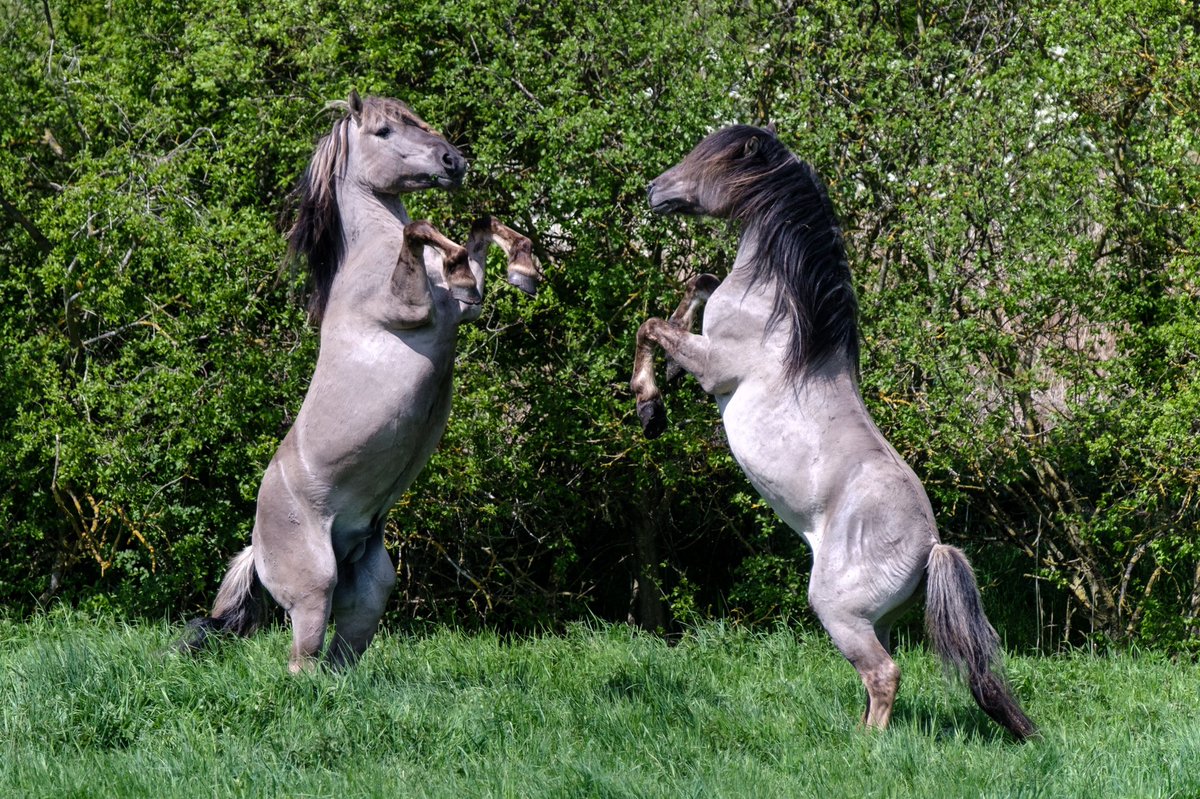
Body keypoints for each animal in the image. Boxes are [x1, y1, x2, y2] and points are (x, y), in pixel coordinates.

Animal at [180, 91, 540, 672]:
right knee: (301, 662)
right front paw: (470, 265)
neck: (368, 257)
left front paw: (524, 268)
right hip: (313, 588)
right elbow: (424, 229)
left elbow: (480, 227)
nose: (453, 162)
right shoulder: (412, 310)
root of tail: (256, 549)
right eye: (384, 132)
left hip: (370, 588)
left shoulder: (463, 312)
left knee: (341, 657)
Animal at [629, 125, 1035, 740]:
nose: (653, 190)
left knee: (884, 674)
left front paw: (649, 405)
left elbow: (651, 325)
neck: (778, 311)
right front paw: (663, 384)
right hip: (874, 620)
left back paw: (866, 748)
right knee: (879, 673)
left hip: (837, 611)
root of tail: (932, 546)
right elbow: (696, 283)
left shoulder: (718, 367)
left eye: (711, 160)